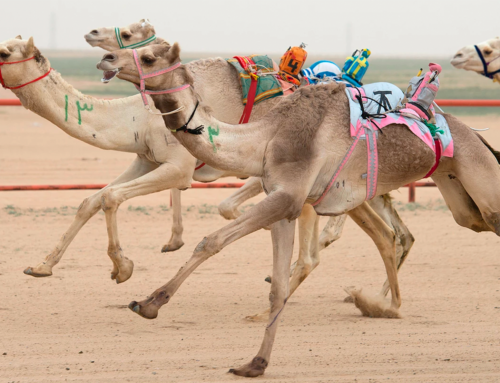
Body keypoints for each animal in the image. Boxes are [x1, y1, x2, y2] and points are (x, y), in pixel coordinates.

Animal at [96, 40, 500, 376]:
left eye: (149, 56)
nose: (106, 58)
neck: (266, 137)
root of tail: (477, 136)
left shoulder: (287, 196)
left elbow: (211, 241)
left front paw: (149, 303)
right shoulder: (284, 206)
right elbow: (277, 286)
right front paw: (254, 364)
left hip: (482, 183)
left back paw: (383, 305)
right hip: (459, 197)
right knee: (419, 231)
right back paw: (384, 305)